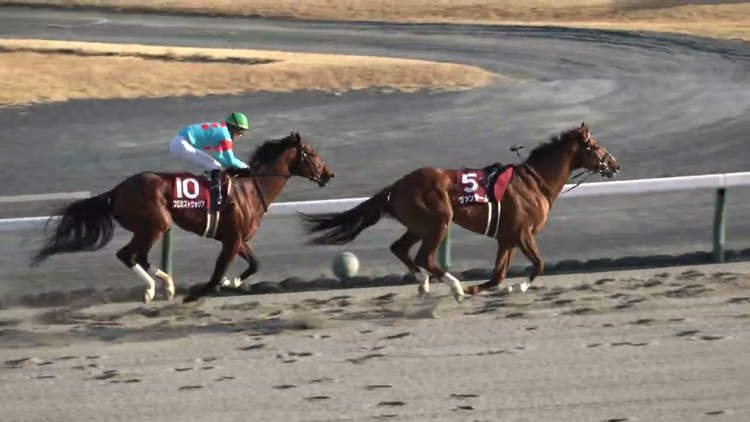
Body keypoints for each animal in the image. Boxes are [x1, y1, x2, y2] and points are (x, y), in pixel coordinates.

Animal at [34, 132, 334, 304]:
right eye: (313, 154)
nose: (329, 174)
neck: (250, 189)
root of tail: (116, 191)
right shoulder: (231, 241)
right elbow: (217, 273)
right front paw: (198, 293)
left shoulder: (239, 239)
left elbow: (255, 265)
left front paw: (233, 282)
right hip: (156, 224)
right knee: (127, 255)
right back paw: (152, 289)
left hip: (150, 227)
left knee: (139, 256)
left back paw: (166, 284)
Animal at [302, 123, 620, 302]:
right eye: (594, 145)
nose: (615, 165)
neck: (534, 182)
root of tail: (397, 185)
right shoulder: (523, 234)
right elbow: (538, 265)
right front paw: (512, 288)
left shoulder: (507, 238)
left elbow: (498, 275)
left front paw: (493, 289)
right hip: (439, 222)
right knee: (424, 257)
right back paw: (454, 287)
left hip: (419, 225)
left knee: (400, 249)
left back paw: (424, 284)